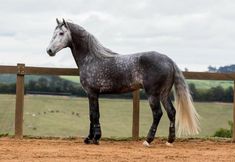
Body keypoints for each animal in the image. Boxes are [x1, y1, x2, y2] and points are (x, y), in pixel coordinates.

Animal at [46, 18, 199, 146]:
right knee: (171, 112)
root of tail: (169, 60)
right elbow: (91, 115)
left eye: (61, 33)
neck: (91, 58)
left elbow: (94, 115)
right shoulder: (92, 94)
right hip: (164, 93)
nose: (49, 50)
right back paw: (169, 141)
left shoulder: (92, 93)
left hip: (153, 94)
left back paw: (148, 140)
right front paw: (89, 138)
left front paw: (95, 138)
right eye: (54, 32)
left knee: (158, 114)